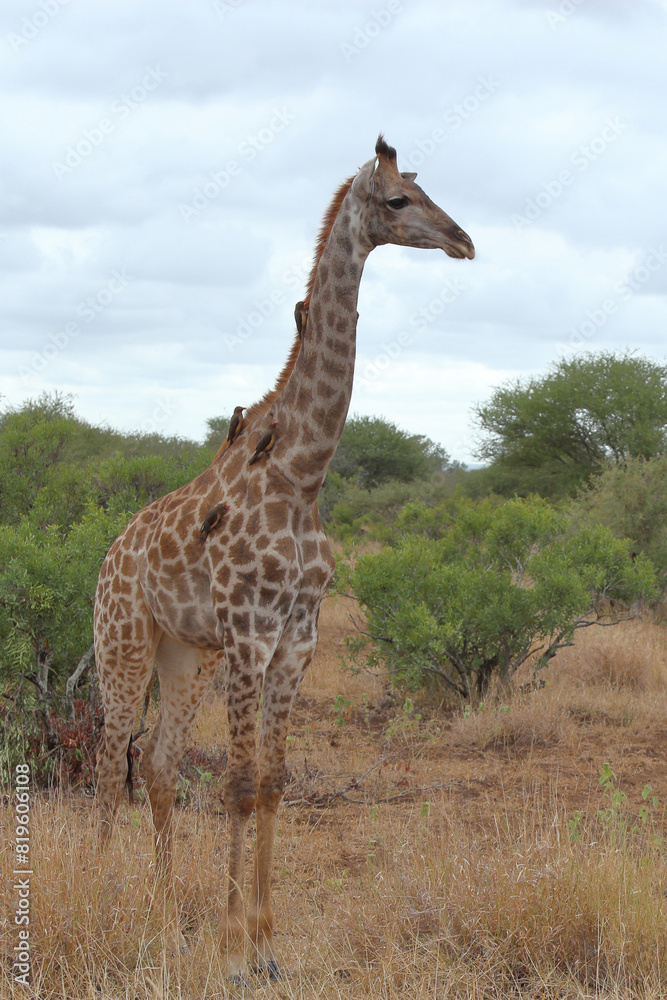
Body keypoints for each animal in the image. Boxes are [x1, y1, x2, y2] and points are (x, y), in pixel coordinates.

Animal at [94, 135, 474, 979]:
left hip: (184, 655)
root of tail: (108, 555)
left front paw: (267, 946)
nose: (464, 241)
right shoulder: (249, 631)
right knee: (108, 761)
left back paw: (161, 920)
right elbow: (238, 784)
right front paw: (235, 953)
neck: (302, 476)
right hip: (123, 644)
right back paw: (95, 899)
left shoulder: (296, 637)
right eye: (397, 201)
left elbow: (272, 782)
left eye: (424, 190)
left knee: (158, 764)